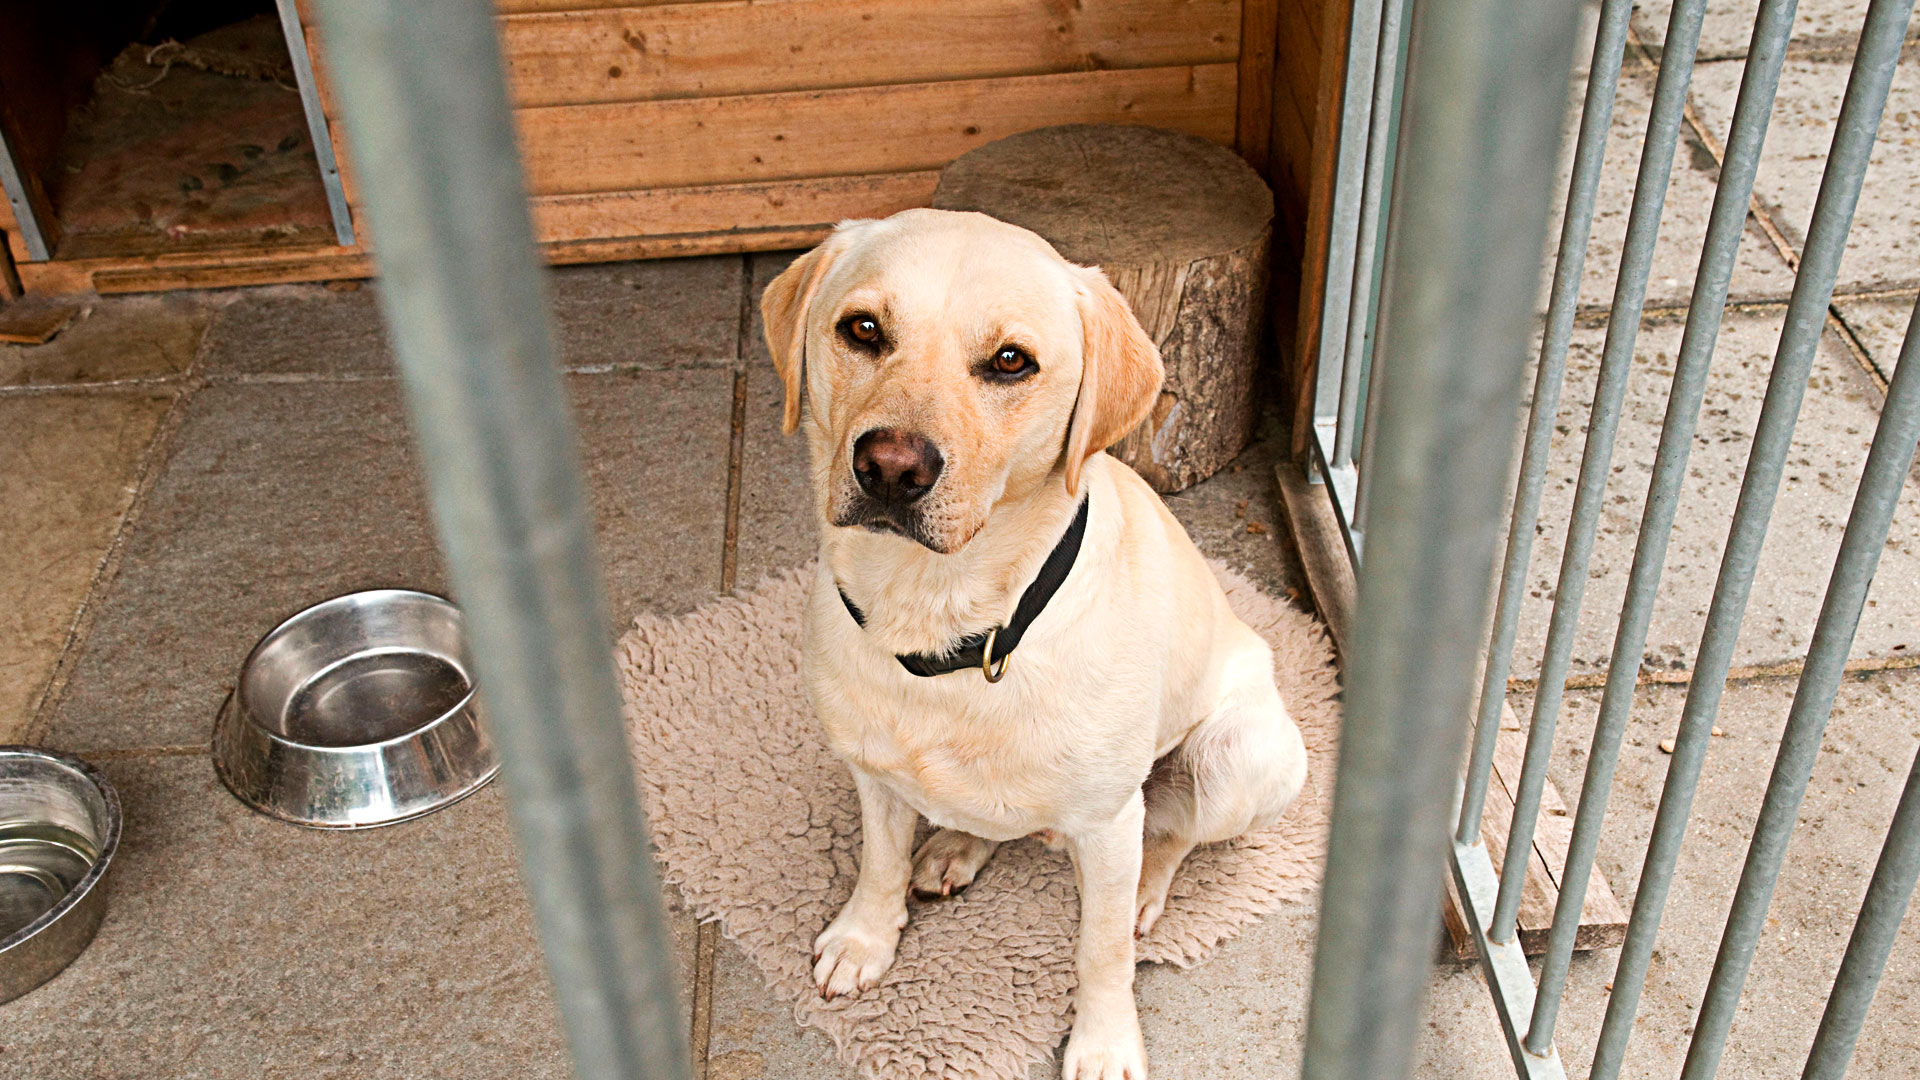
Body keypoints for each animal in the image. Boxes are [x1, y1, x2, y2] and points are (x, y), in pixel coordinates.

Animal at [756, 210, 1313, 1076]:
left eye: (1011, 361)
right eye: (863, 329)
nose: (890, 468)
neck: (945, 622)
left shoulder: (1109, 823)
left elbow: (1100, 951)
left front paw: (1104, 1040)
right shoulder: (871, 771)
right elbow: (878, 863)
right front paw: (864, 939)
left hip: (1242, 755)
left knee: (1174, 834)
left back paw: (1144, 891)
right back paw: (952, 847)